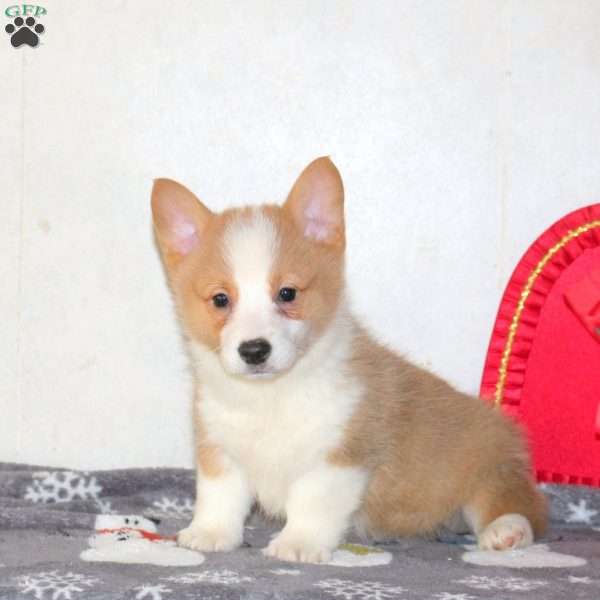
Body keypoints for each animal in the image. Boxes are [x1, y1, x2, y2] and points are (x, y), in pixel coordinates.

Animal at [152, 155, 548, 564]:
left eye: (288, 293)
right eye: (220, 300)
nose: (254, 350)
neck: (271, 395)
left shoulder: (339, 458)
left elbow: (311, 504)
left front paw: (298, 544)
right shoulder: (220, 450)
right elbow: (219, 498)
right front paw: (209, 533)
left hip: (489, 466)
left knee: (516, 503)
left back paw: (507, 531)